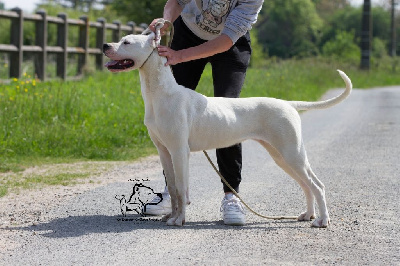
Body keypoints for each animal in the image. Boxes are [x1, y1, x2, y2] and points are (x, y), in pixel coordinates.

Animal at [102, 22, 350, 228]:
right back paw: (307, 214)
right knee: (306, 185)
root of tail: (288, 104)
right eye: (120, 39)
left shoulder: (180, 152)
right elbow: (172, 188)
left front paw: (179, 220)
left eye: (126, 42)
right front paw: (170, 216)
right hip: (282, 156)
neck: (160, 94)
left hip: (291, 153)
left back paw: (322, 220)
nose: (105, 45)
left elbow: (181, 189)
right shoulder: (164, 151)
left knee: (317, 185)